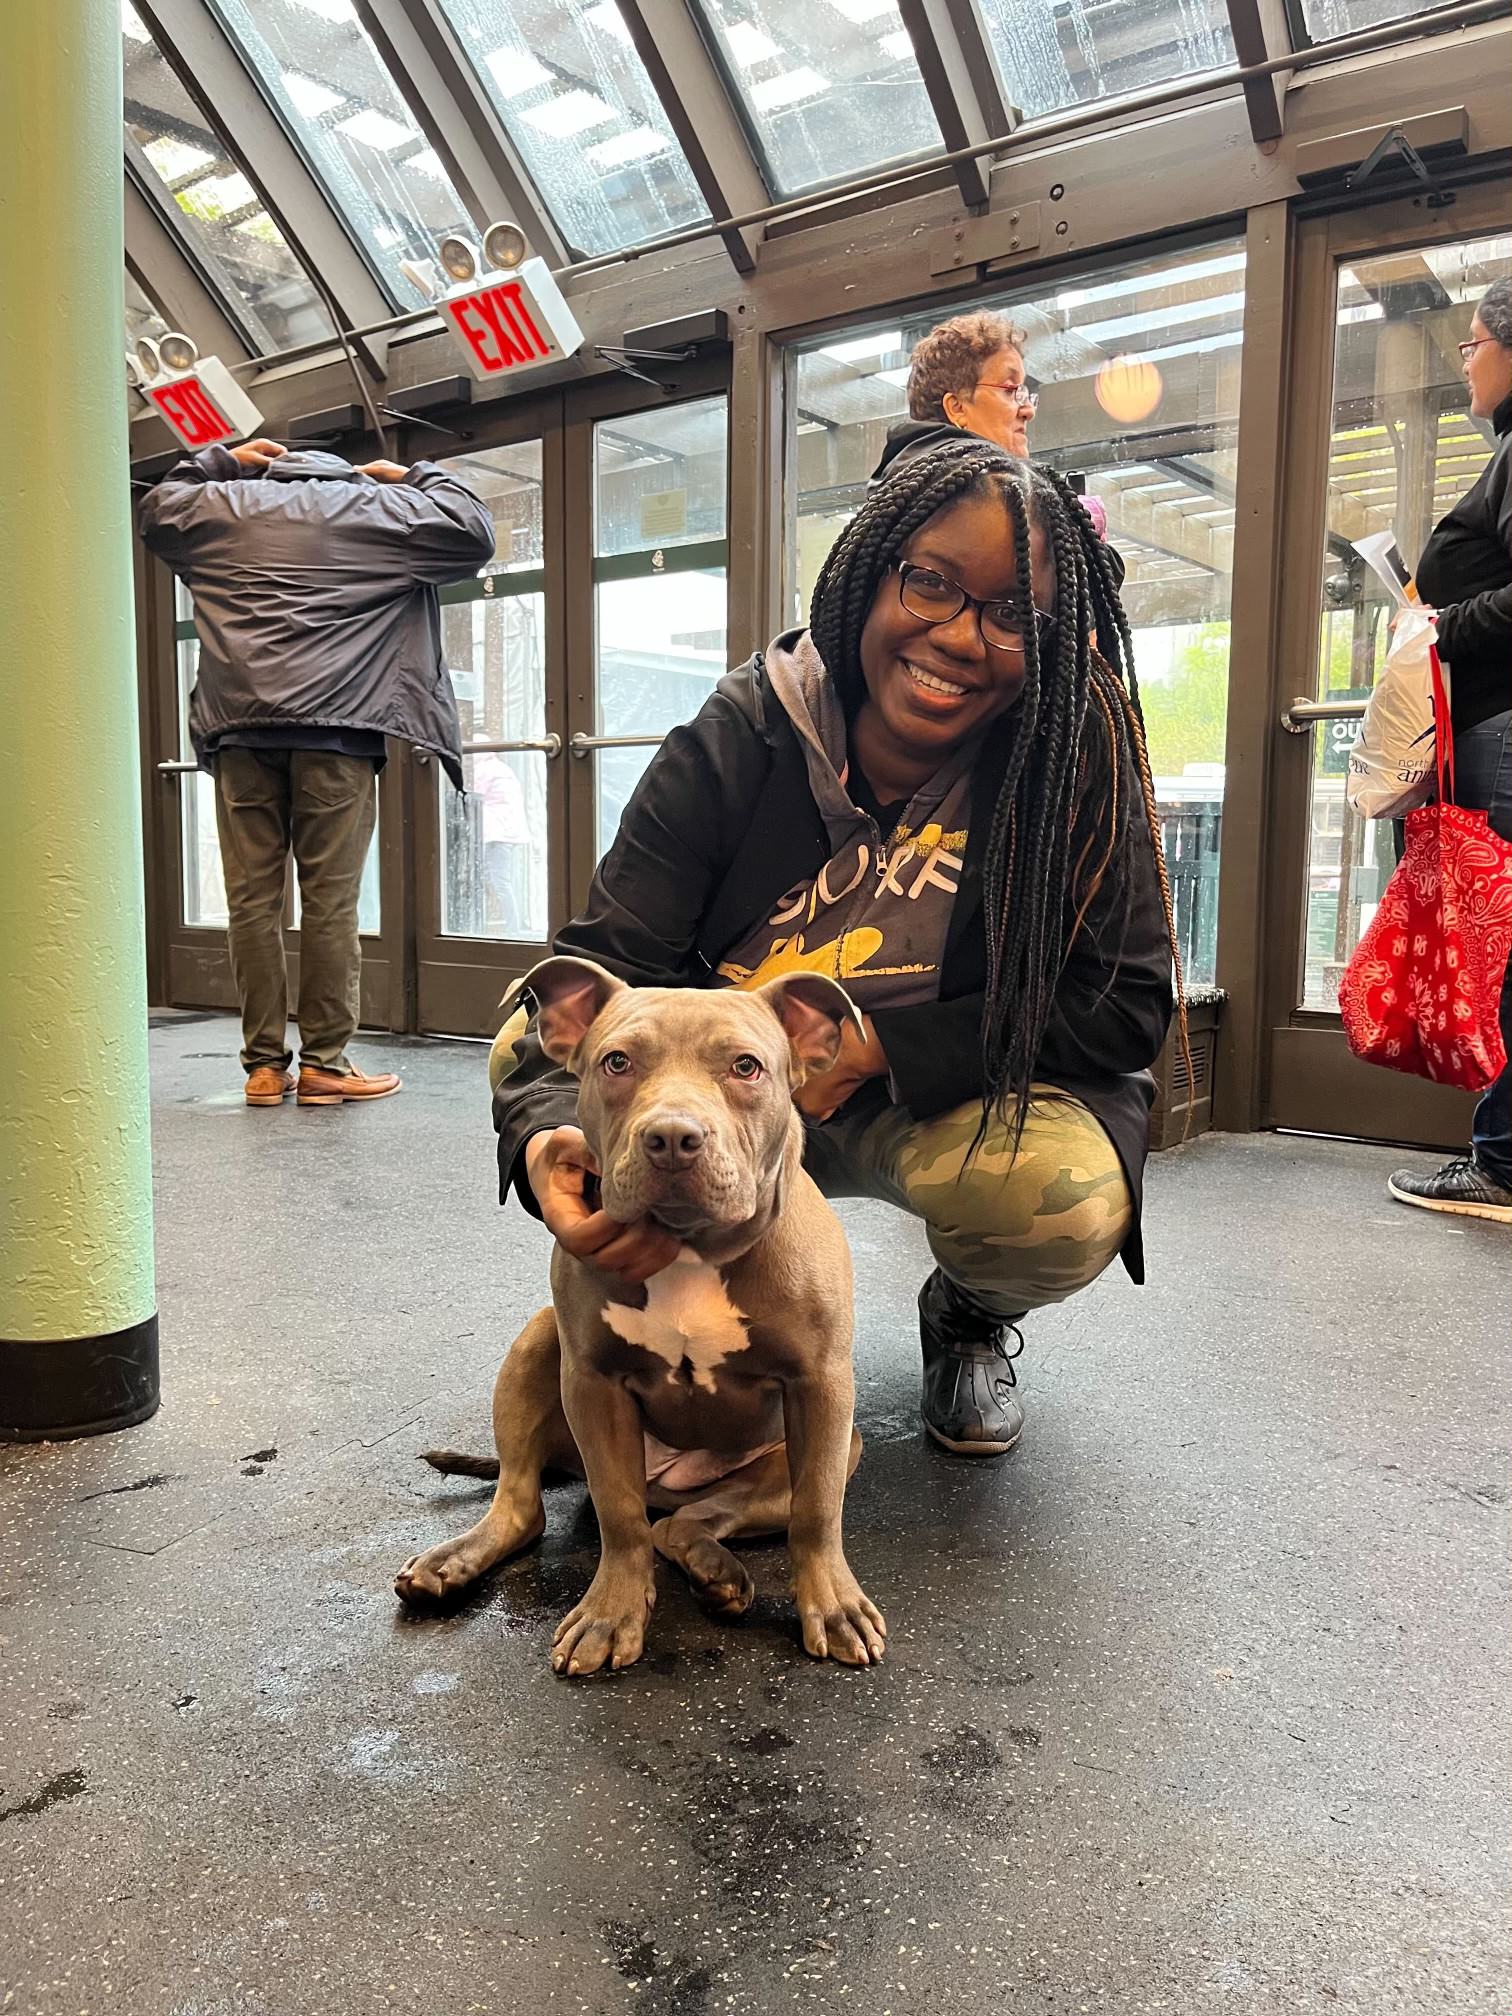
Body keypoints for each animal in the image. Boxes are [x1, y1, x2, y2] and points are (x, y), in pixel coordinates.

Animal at [397, 955, 887, 1669]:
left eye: (746, 1067)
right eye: (617, 1062)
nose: (673, 1136)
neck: (689, 1248)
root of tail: (670, 1483)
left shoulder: (821, 1387)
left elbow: (818, 1511)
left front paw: (834, 1605)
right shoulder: (593, 1385)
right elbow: (618, 1515)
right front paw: (610, 1614)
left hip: (815, 1453)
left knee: (688, 1523)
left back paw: (718, 1572)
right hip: (540, 1342)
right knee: (531, 1504)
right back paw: (453, 1562)